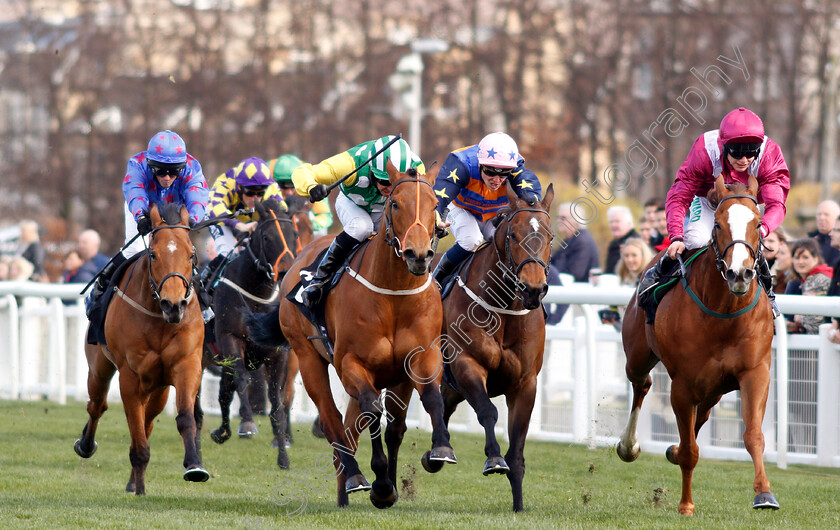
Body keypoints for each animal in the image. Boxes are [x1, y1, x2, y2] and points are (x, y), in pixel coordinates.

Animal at [75, 203, 208, 496]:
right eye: (153, 254)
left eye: (191, 254)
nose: (174, 304)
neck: (159, 318)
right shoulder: (131, 377)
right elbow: (136, 433)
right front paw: (140, 490)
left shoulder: (187, 364)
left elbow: (185, 418)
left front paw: (194, 465)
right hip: (99, 368)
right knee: (97, 405)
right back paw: (86, 445)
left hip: (158, 388)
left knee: (148, 420)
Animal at [204, 198, 302, 466]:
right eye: (267, 237)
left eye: (295, 234)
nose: (286, 271)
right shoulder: (230, 340)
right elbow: (242, 380)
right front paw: (247, 423)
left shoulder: (278, 354)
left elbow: (277, 400)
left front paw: (283, 455)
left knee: (223, 394)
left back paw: (221, 432)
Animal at [251, 162, 456, 508]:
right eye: (395, 203)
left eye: (434, 206)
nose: (418, 255)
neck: (393, 294)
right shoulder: (352, 364)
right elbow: (372, 410)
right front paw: (381, 486)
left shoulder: (420, 359)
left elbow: (427, 400)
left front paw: (440, 449)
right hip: (307, 358)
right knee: (332, 421)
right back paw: (355, 477)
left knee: (360, 427)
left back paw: (345, 489)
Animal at [424, 184, 556, 510]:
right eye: (514, 235)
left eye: (550, 236)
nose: (533, 289)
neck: (503, 308)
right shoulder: (466, 365)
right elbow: (487, 411)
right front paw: (494, 459)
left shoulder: (525, 383)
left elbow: (518, 443)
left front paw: (519, 504)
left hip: (452, 387)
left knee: (444, 408)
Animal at [612, 175, 776, 512]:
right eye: (718, 225)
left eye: (758, 224)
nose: (739, 273)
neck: (724, 313)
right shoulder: (683, 384)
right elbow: (690, 450)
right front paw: (686, 505)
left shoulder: (755, 372)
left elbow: (753, 434)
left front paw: (764, 494)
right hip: (638, 356)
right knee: (642, 384)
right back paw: (629, 446)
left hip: (715, 386)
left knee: (703, 415)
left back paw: (671, 449)